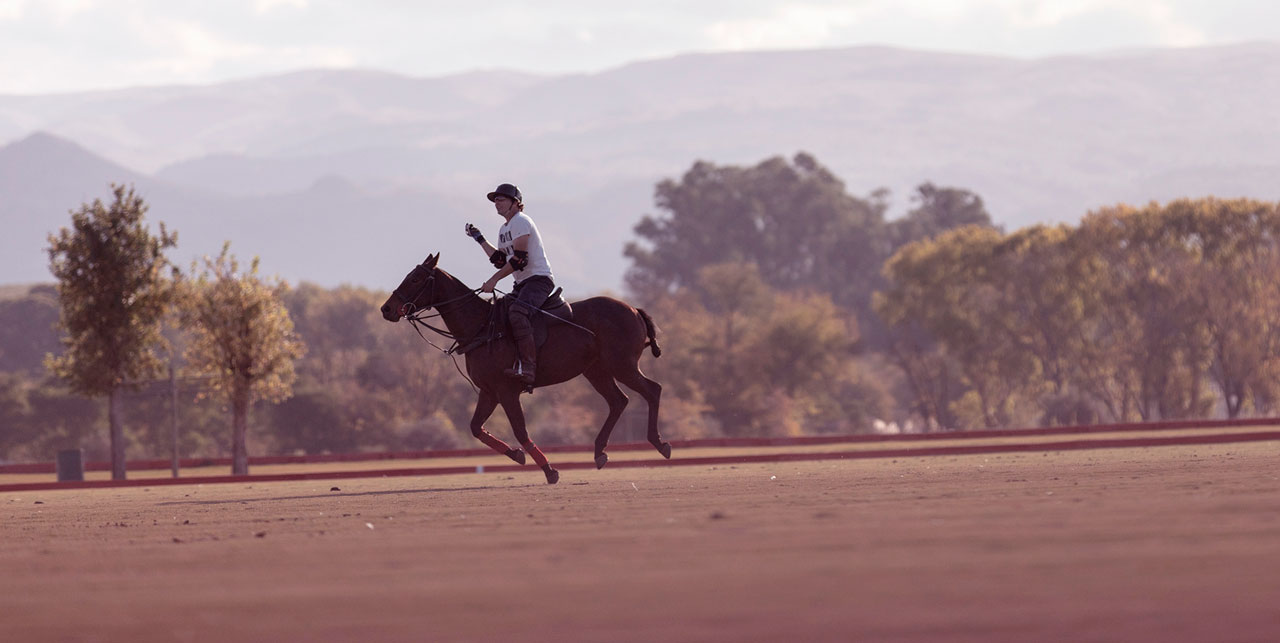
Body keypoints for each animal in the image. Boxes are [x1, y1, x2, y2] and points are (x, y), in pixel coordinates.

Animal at [378, 253, 675, 484]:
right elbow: (475, 427)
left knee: (653, 390)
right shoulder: (489, 391)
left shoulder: (507, 391)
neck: (480, 327)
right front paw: (517, 455)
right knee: (618, 401)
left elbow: (521, 430)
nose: (386, 309)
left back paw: (660, 444)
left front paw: (549, 470)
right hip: (596, 370)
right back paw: (600, 452)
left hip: (622, 364)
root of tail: (635, 310)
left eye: (415, 278)